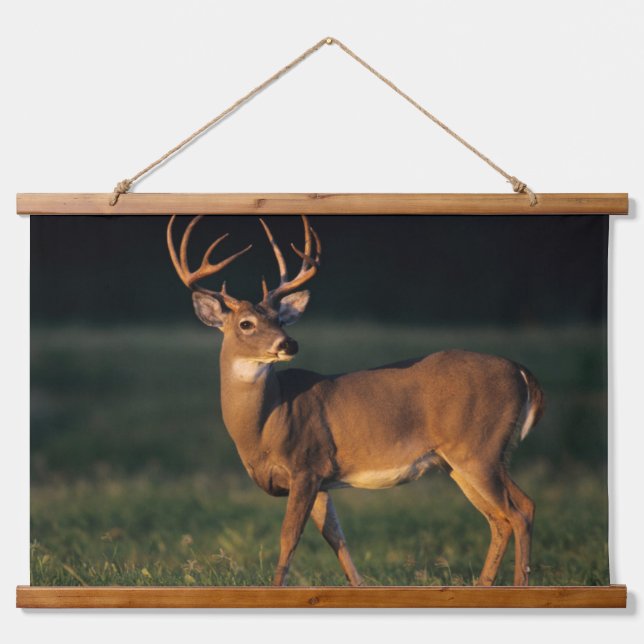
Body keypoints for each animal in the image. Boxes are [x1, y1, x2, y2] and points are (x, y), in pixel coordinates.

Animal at [166, 214, 545, 587]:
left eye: (279, 319)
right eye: (246, 324)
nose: (289, 343)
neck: (265, 423)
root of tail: (520, 370)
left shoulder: (306, 464)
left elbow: (289, 537)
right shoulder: (321, 478)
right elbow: (337, 538)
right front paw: (359, 586)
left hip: (478, 449)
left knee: (517, 512)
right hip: (464, 459)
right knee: (507, 514)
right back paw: (483, 585)